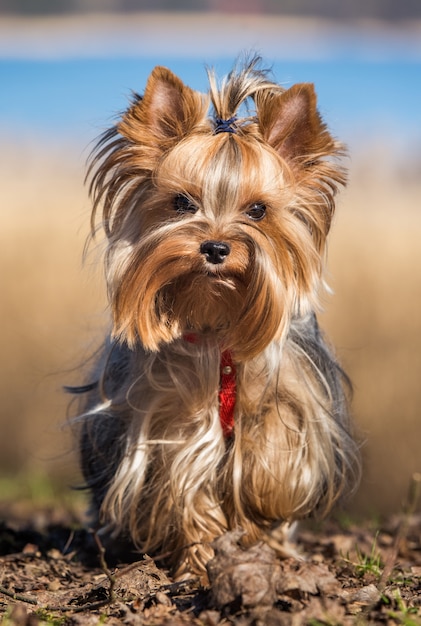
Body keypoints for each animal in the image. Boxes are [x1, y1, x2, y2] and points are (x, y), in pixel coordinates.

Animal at [73, 56, 360, 576]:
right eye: (182, 203)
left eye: (258, 210)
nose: (215, 248)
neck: (215, 321)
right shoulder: (170, 415)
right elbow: (185, 476)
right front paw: (200, 554)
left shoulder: (288, 404)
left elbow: (269, 458)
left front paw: (258, 524)